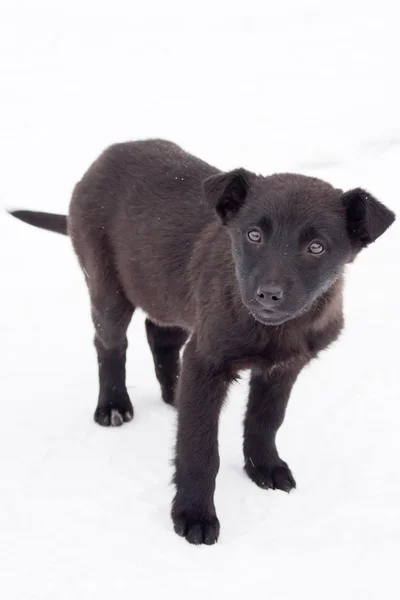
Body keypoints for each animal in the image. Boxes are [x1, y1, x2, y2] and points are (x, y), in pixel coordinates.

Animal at [10, 139, 396, 544]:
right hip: (108, 286)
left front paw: (264, 468)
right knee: (110, 345)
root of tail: (111, 152)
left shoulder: (283, 367)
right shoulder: (207, 359)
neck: (273, 328)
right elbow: (199, 448)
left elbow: (266, 420)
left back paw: (174, 393)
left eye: (317, 247)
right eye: (254, 235)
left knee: (160, 335)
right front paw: (194, 514)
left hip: (169, 291)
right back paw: (113, 405)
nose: (268, 295)